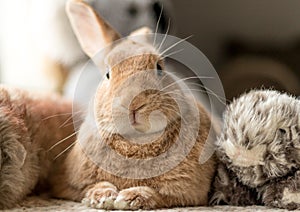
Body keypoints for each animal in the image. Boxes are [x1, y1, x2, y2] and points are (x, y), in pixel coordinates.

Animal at [48, 0, 218, 209]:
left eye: (159, 68)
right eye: (107, 74)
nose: (134, 103)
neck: (136, 141)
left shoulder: (189, 193)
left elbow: (158, 194)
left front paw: (129, 198)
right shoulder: (66, 185)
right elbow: (93, 186)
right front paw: (103, 197)